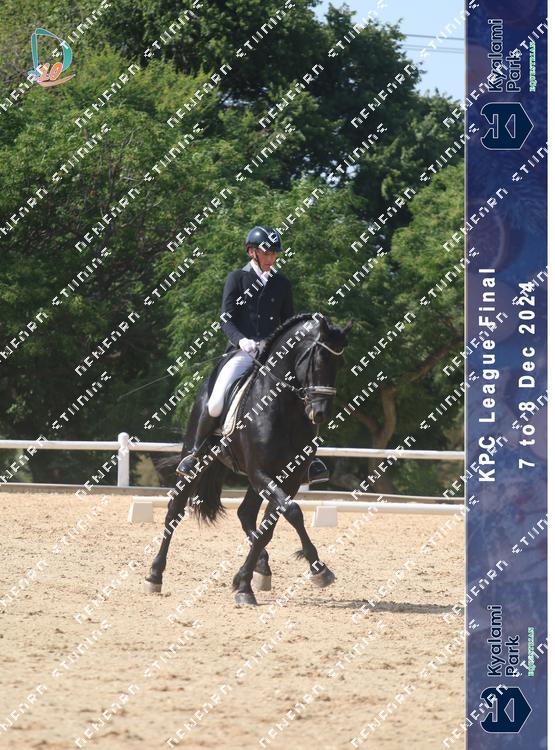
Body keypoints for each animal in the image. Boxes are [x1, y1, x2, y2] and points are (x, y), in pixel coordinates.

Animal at [145, 312, 352, 606]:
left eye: (340, 362)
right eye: (318, 358)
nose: (320, 413)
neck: (283, 409)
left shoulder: (289, 477)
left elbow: (271, 525)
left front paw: (246, 581)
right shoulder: (259, 472)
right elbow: (292, 512)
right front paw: (315, 570)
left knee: (245, 514)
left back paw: (260, 569)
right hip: (196, 457)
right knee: (174, 511)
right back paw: (155, 575)